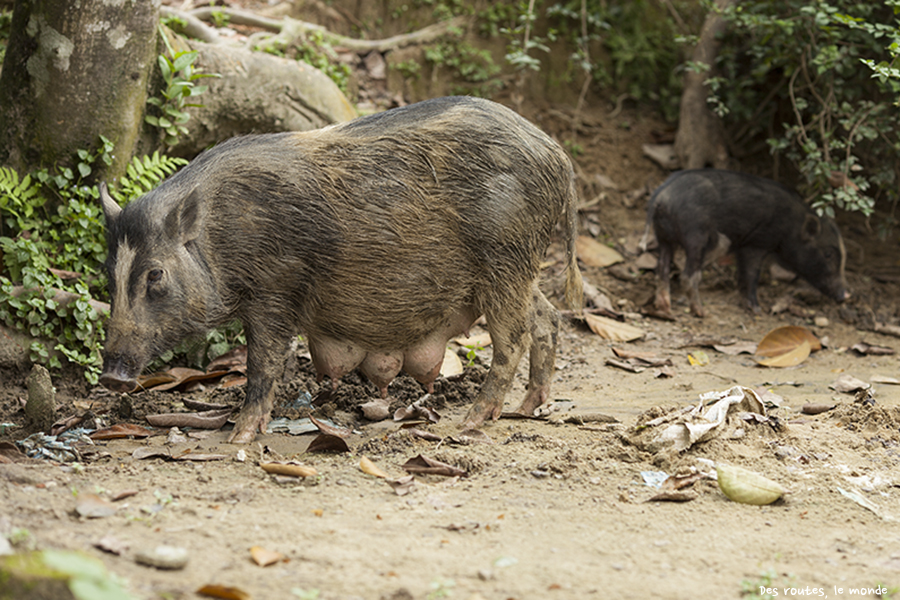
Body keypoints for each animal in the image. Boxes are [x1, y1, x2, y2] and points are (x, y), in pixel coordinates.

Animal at [98, 96, 584, 442]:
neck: (221, 235)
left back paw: (471, 422)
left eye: (155, 274)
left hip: (506, 259)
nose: (110, 375)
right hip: (518, 268)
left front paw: (239, 436)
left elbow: (264, 362)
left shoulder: (276, 288)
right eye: (108, 274)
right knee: (547, 317)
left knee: (514, 338)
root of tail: (559, 155)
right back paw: (530, 407)